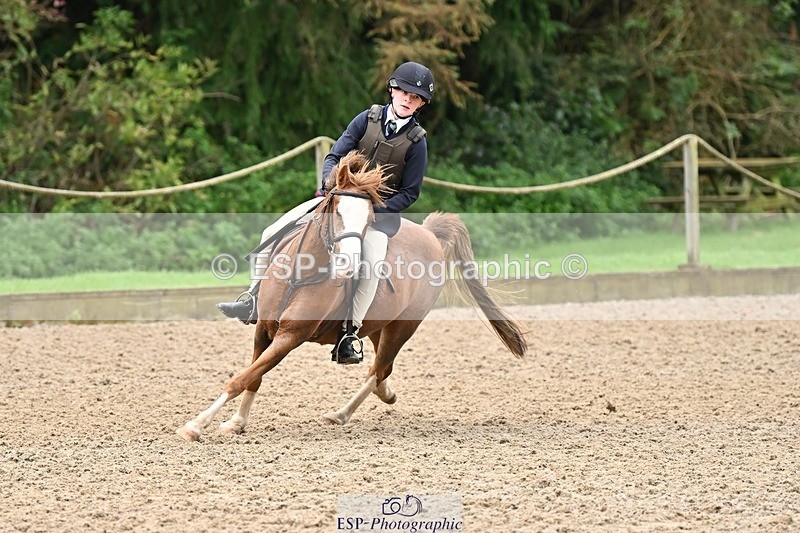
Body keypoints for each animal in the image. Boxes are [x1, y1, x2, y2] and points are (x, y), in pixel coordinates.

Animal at [177, 151, 528, 441]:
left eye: (369, 217)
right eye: (336, 210)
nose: (347, 263)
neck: (300, 273)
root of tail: (430, 233)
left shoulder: (290, 336)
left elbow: (243, 377)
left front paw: (196, 424)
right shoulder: (264, 328)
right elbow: (253, 376)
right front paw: (236, 423)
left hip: (403, 327)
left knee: (379, 368)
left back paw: (341, 414)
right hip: (377, 325)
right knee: (382, 369)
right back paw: (385, 394)